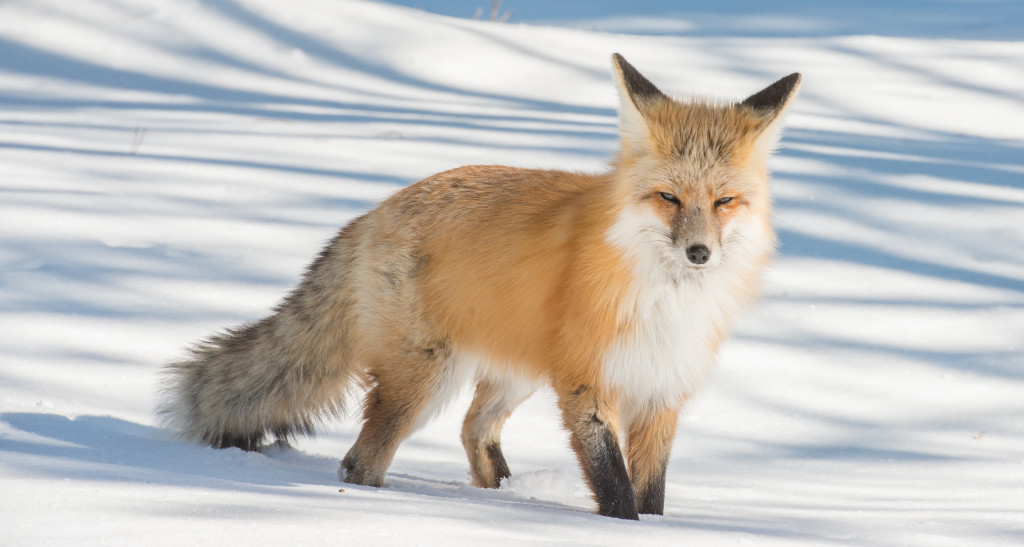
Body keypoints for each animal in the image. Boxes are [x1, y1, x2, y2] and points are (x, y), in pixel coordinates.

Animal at [159, 53, 798, 520]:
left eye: (724, 202)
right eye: (668, 197)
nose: (699, 253)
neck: (665, 300)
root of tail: (373, 211)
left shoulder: (663, 388)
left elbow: (652, 493)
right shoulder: (587, 385)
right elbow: (616, 491)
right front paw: (622, 529)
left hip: (515, 372)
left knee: (473, 429)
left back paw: (497, 496)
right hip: (427, 378)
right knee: (360, 462)